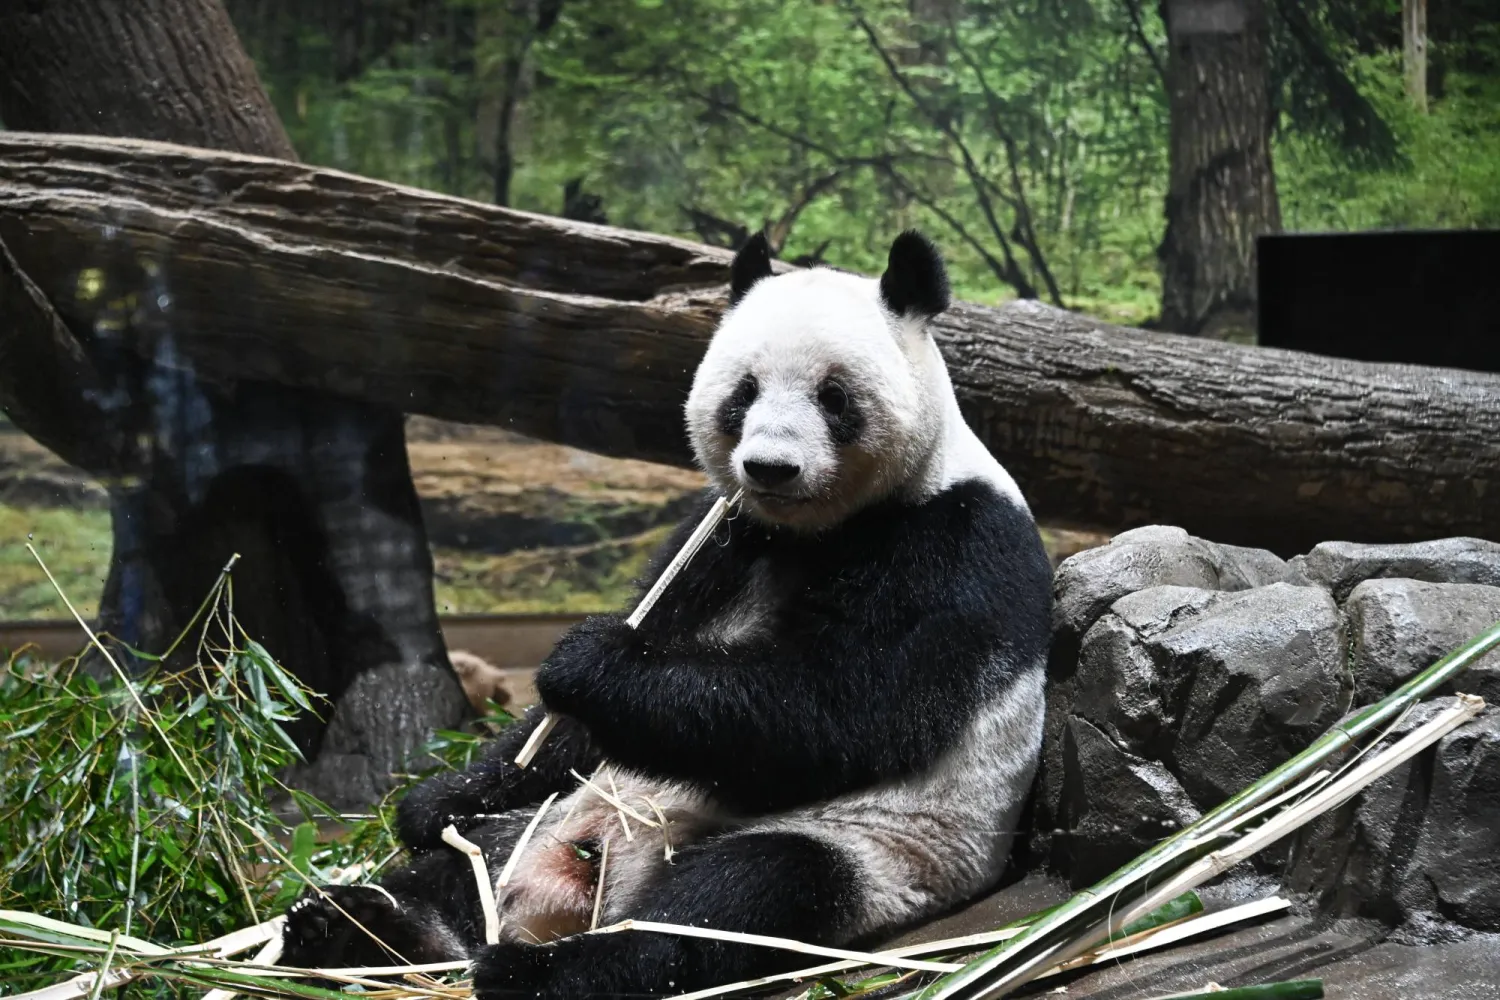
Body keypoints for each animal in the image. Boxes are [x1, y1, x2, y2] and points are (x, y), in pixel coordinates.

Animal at [279, 230, 1053, 999]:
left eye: (834, 397)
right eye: (744, 392)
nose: (770, 468)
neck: (812, 532)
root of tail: (574, 894)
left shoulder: (950, 543)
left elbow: (842, 707)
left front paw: (591, 663)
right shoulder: (721, 538)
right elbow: (576, 725)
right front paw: (436, 801)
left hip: (876, 851)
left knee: (737, 898)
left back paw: (546, 970)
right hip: (545, 821)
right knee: (464, 871)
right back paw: (361, 928)